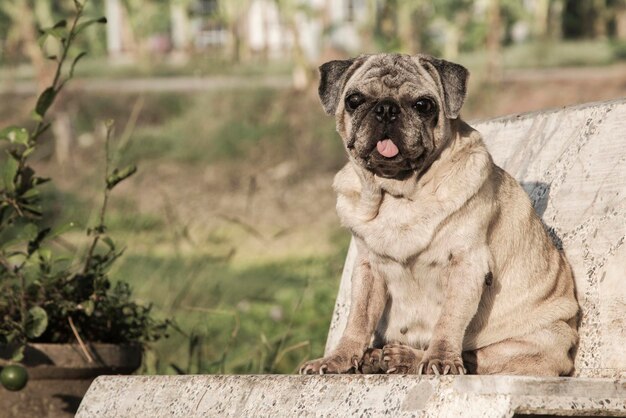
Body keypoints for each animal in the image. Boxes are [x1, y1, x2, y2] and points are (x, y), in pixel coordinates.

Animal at [298, 53, 576, 376]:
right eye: (354, 100)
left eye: (423, 105)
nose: (386, 109)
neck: (398, 195)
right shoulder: (368, 269)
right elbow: (357, 320)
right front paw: (337, 360)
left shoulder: (466, 264)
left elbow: (449, 320)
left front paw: (441, 359)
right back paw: (376, 357)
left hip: (537, 341)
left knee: (474, 358)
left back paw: (404, 358)